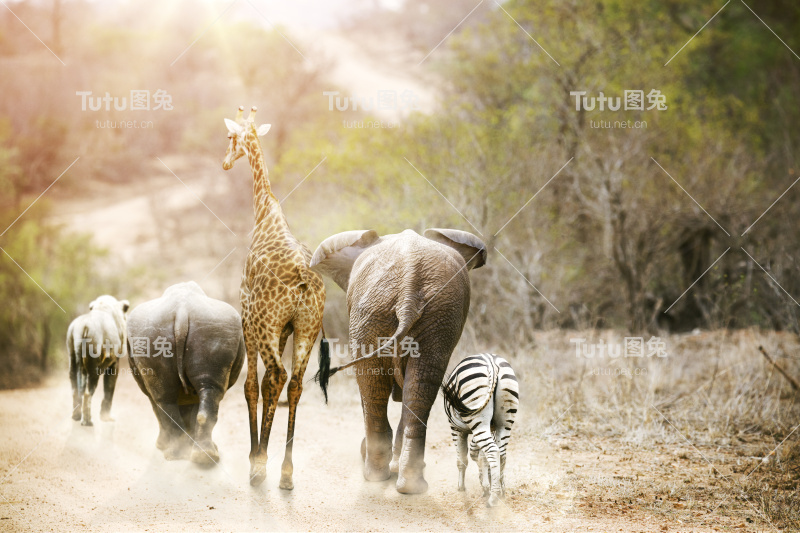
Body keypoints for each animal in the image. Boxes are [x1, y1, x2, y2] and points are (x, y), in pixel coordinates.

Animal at [67, 296, 130, 424]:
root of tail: (83, 327)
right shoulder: (115, 362)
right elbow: (109, 389)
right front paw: (106, 417)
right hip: (93, 366)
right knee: (87, 392)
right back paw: (87, 422)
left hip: (72, 358)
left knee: (75, 389)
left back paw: (76, 416)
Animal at [126, 282, 245, 462]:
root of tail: (182, 311)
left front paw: (163, 445)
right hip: (214, 328)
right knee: (204, 390)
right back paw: (203, 457)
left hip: (163, 331)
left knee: (164, 398)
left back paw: (178, 455)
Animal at [222, 106, 328, 488]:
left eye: (230, 137)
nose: (225, 163)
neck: (264, 211)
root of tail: (303, 281)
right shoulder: (284, 328)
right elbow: (269, 385)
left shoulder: (247, 314)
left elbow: (253, 385)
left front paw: (255, 457)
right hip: (307, 328)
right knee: (294, 383)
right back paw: (286, 471)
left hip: (268, 325)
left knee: (279, 378)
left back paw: (262, 466)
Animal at [310, 227, 484, 492]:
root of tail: (409, 285)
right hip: (417, 313)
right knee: (417, 383)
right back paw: (407, 484)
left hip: (381, 312)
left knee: (380, 386)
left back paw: (377, 475)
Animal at [440, 352, 516, 504]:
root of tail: (491, 361)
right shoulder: (489, 429)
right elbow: (479, 455)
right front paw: (487, 483)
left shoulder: (456, 429)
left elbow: (462, 459)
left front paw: (462, 487)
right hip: (505, 420)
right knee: (501, 453)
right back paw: (500, 490)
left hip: (477, 416)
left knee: (493, 450)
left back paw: (493, 498)